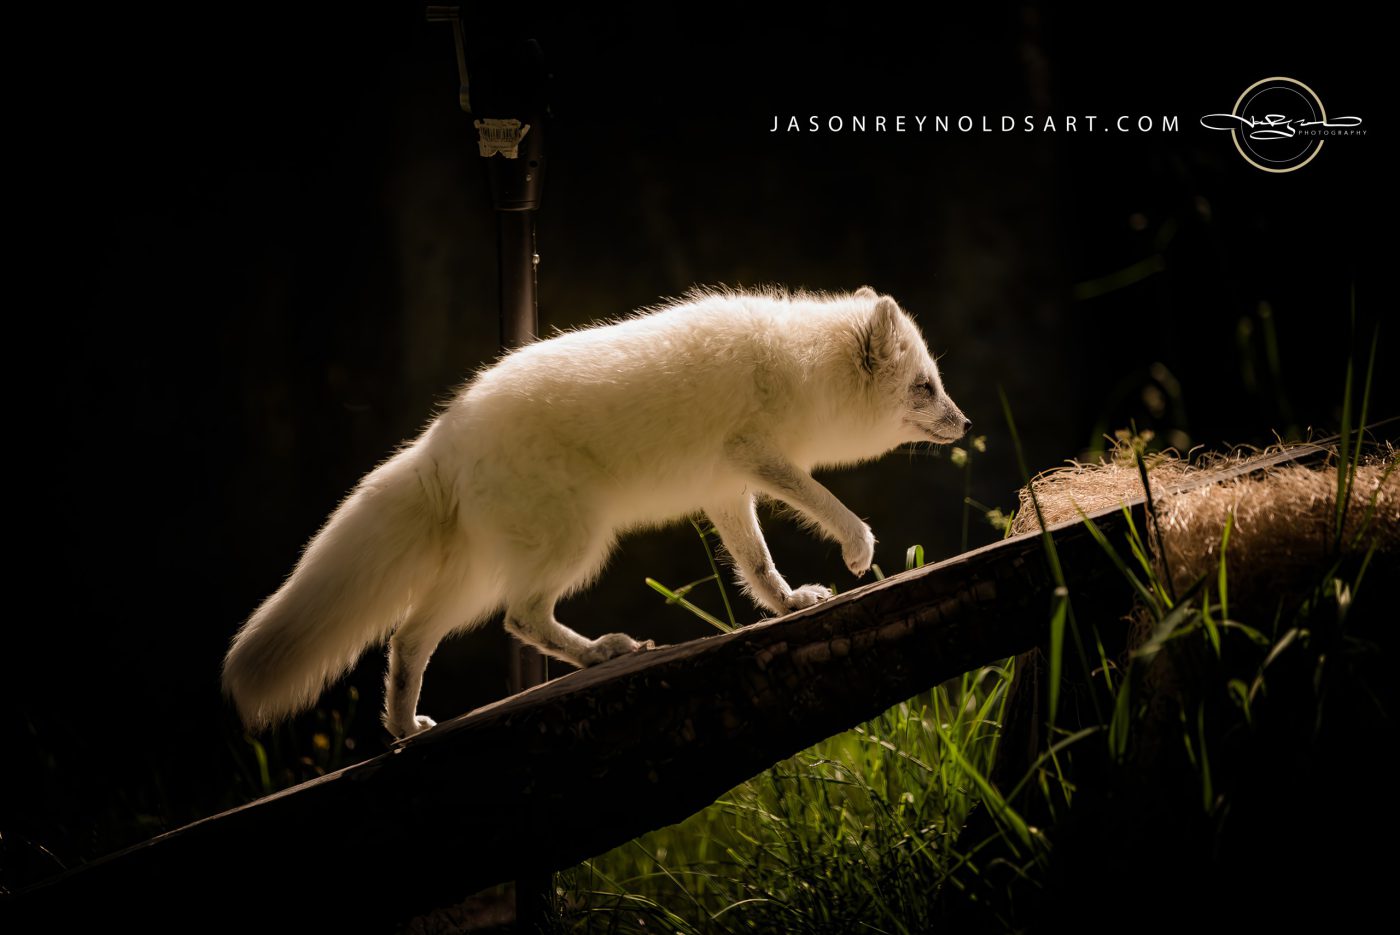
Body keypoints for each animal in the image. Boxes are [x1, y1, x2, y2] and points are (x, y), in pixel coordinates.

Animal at [222, 286, 970, 738]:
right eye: (925, 387)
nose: (965, 424)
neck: (799, 363)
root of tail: (441, 440)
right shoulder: (759, 459)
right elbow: (828, 504)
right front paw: (857, 549)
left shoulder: (728, 489)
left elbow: (757, 564)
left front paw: (787, 604)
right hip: (573, 546)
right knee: (519, 618)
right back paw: (602, 652)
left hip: (476, 576)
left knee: (409, 638)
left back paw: (406, 729)